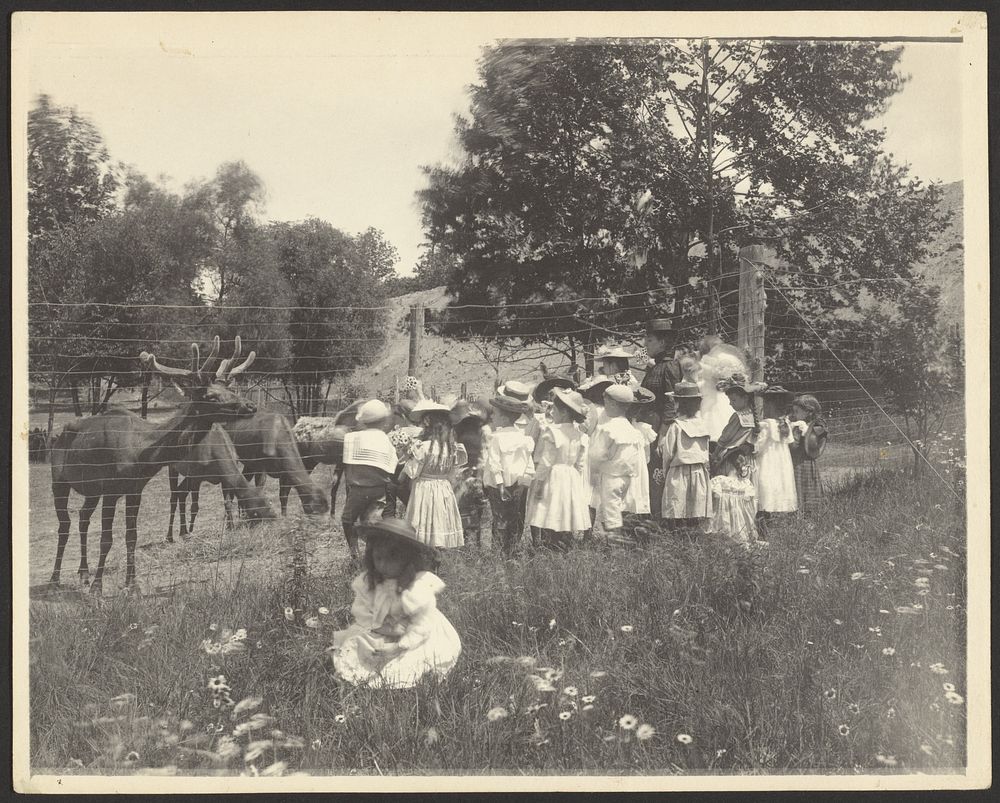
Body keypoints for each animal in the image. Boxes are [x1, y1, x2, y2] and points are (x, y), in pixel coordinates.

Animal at [48, 336, 258, 592]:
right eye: (210, 396)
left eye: (229, 389)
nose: (250, 406)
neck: (142, 455)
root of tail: (57, 436)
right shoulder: (111, 489)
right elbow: (107, 539)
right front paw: (98, 587)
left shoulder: (135, 489)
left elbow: (132, 537)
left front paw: (132, 584)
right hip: (59, 480)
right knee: (64, 525)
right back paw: (55, 578)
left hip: (91, 490)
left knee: (82, 518)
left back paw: (83, 573)